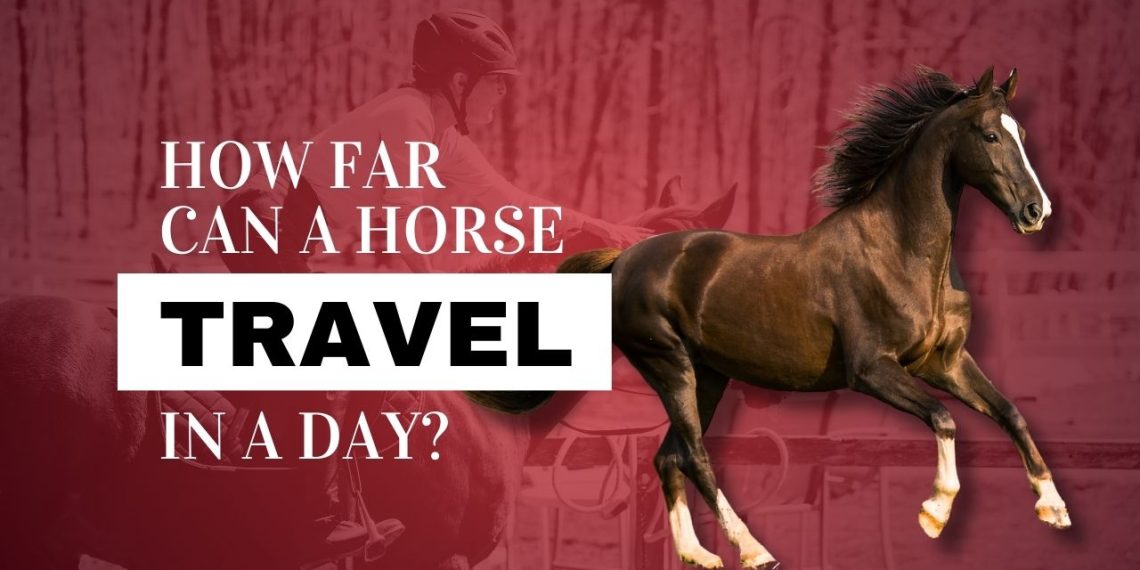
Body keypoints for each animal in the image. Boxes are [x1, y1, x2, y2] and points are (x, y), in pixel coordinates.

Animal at [476, 66, 1069, 569]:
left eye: (1022, 133)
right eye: (990, 136)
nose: (1037, 212)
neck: (903, 253)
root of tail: (623, 258)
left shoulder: (944, 363)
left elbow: (1011, 413)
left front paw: (1054, 508)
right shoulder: (872, 371)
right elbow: (944, 419)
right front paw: (936, 512)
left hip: (709, 377)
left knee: (668, 458)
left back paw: (698, 555)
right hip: (669, 365)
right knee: (695, 456)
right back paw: (753, 550)